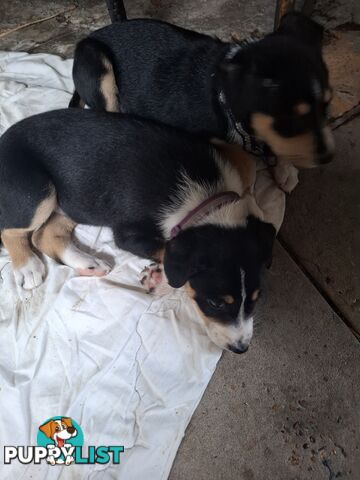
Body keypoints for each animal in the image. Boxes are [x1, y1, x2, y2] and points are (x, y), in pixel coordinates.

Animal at [0, 110, 286, 354]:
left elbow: (248, 165)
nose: (241, 348)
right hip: (38, 191)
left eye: (256, 298)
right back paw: (28, 266)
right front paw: (161, 280)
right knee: (14, 231)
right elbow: (166, 251)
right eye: (215, 303)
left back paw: (89, 264)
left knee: (46, 235)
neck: (208, 202)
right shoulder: (129, 235)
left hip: (75, 202)